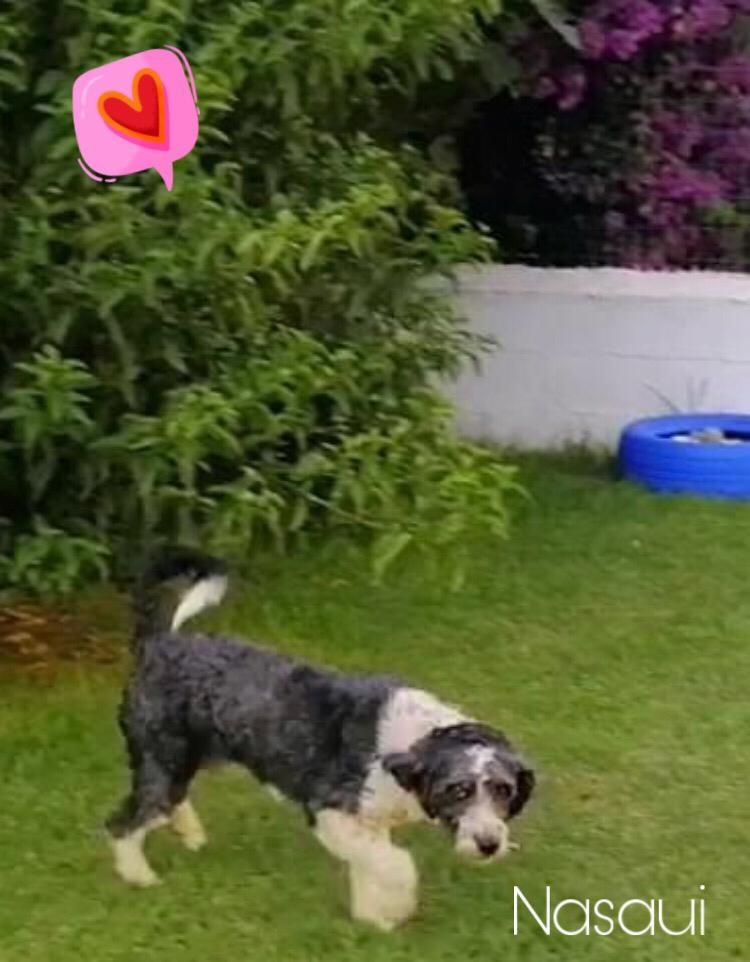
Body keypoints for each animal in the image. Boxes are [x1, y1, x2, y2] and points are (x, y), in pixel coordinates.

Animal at [107, 549, 535, 931]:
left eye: (503, 790)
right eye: (458, 790)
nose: (489, 844)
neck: (411, 747)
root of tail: (159, 644)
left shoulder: (367, 822)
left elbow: (371, 868)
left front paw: (372, 918)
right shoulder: (330, 810)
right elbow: (397, 865)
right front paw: (395, 910)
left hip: (180, 760)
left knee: (169, 803)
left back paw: (191, 835)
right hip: (163, 759)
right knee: (123, 824)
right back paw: (140, 876)